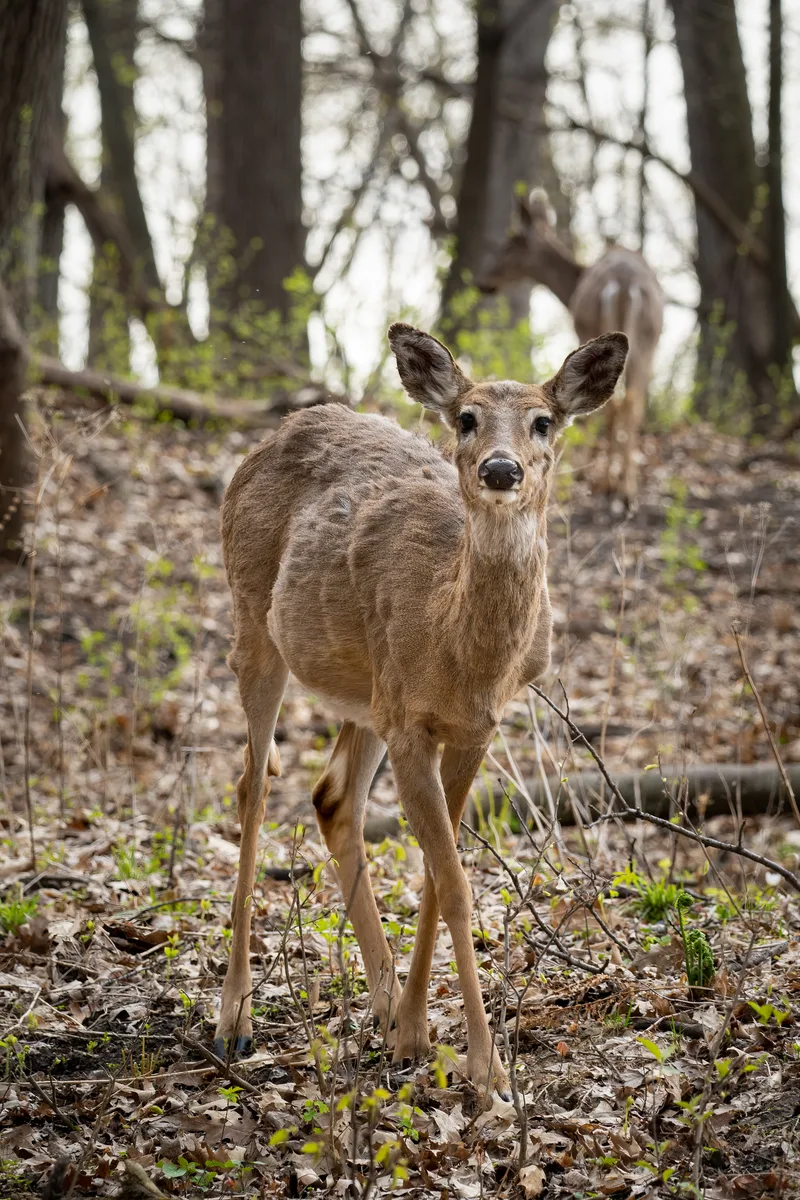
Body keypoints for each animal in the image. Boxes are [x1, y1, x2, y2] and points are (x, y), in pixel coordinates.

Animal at [215, 322, 628, 1097]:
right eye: (465, 418)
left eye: (543, 421)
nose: (501, 469)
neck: (457, 647)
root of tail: (272, 435)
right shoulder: (411, 724)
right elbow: (457, 884)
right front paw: (489, 1071)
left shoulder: (472, 728)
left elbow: (440, 876)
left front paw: (414, 1034)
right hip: (254, 620)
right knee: (254, 785)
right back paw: (234, 1018)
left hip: (364, 692)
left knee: (331, 796)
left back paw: (380, 1009)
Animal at [481, 191, 664, 504]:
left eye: (508, 246)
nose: (483, 282)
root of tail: (624, 285)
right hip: (647, 341)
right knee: (632, 403)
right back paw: (627, 489)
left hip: (596, 327)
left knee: (614, 406)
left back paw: (608, 483)